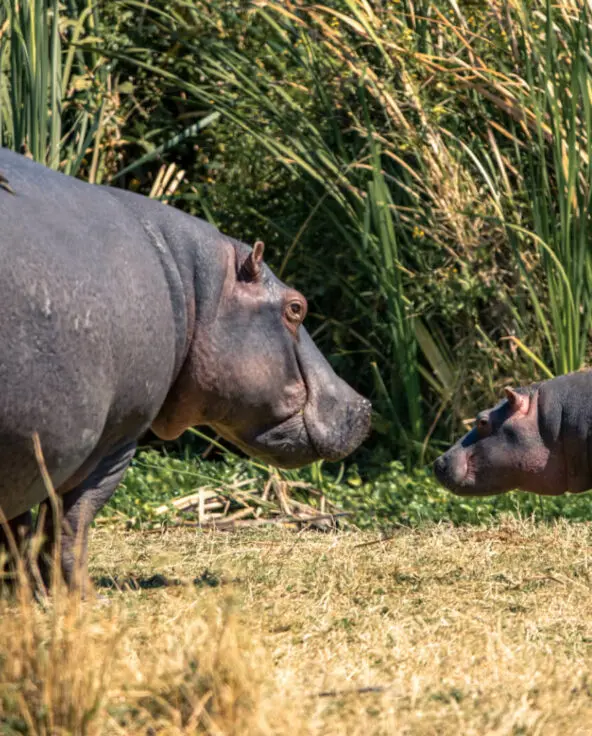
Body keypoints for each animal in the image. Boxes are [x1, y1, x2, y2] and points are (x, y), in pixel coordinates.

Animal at [0, 147, 370, 591]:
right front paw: (81, 595)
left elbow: (18, 533)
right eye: (296, 307)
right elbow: (68, 525)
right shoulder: (113, 438)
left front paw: (24, 594)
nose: (363, 404)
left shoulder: (31, 452)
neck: (192, 284)